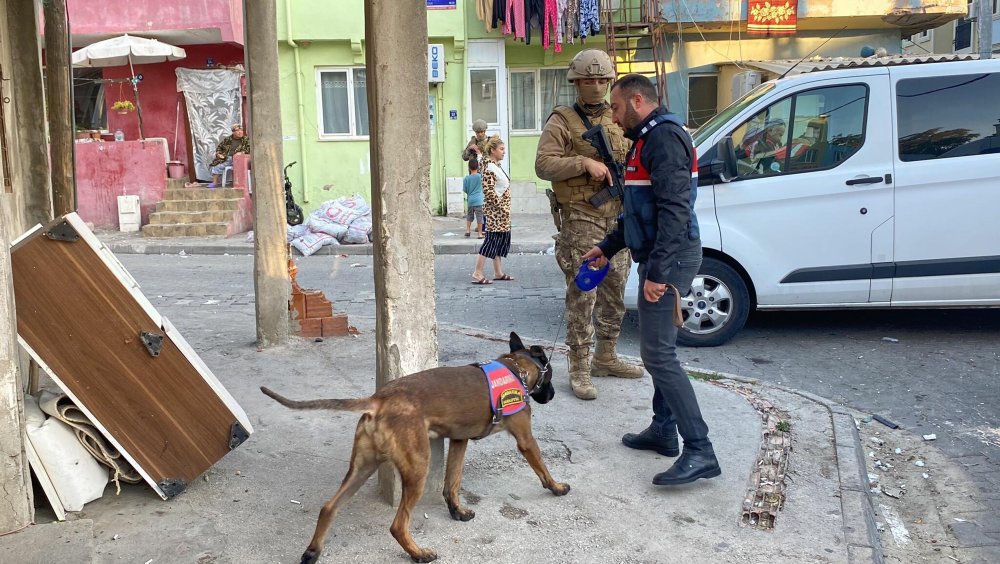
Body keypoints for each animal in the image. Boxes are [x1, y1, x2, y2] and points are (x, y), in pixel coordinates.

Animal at [260, 332, 572, 560]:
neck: (516, 368)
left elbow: (452, 483)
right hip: (417, 469)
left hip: (362, 468)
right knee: (398, 525)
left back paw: (313, 551)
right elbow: (542, 466)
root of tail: (379, 400)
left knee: (328, 508)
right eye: (550, 375)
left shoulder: (458, 441)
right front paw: (556, 487)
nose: (553, 396)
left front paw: (457, 510)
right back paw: (419, 553)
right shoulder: (525, 438)